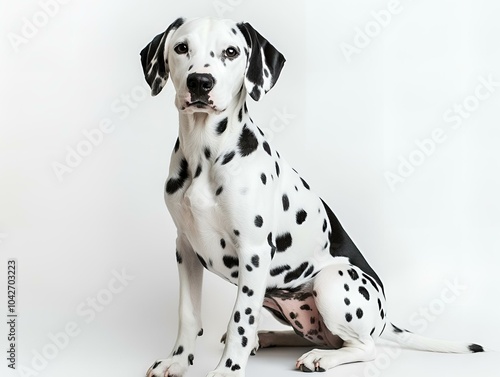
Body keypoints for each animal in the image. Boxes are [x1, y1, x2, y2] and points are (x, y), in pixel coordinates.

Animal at [141, 16, 484, 374]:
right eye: (182, 47)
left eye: (231, 52)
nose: (200, 82)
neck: (205, 154)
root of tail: (384, 319)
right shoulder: (185, 248)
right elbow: (188, 315)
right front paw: (178, 361)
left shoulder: (253, 251)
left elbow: (240, 321)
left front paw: (227, 370)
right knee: (312, 336)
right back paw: (269, 337)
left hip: (332, 282)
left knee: (363, 346)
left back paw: (319, 356)